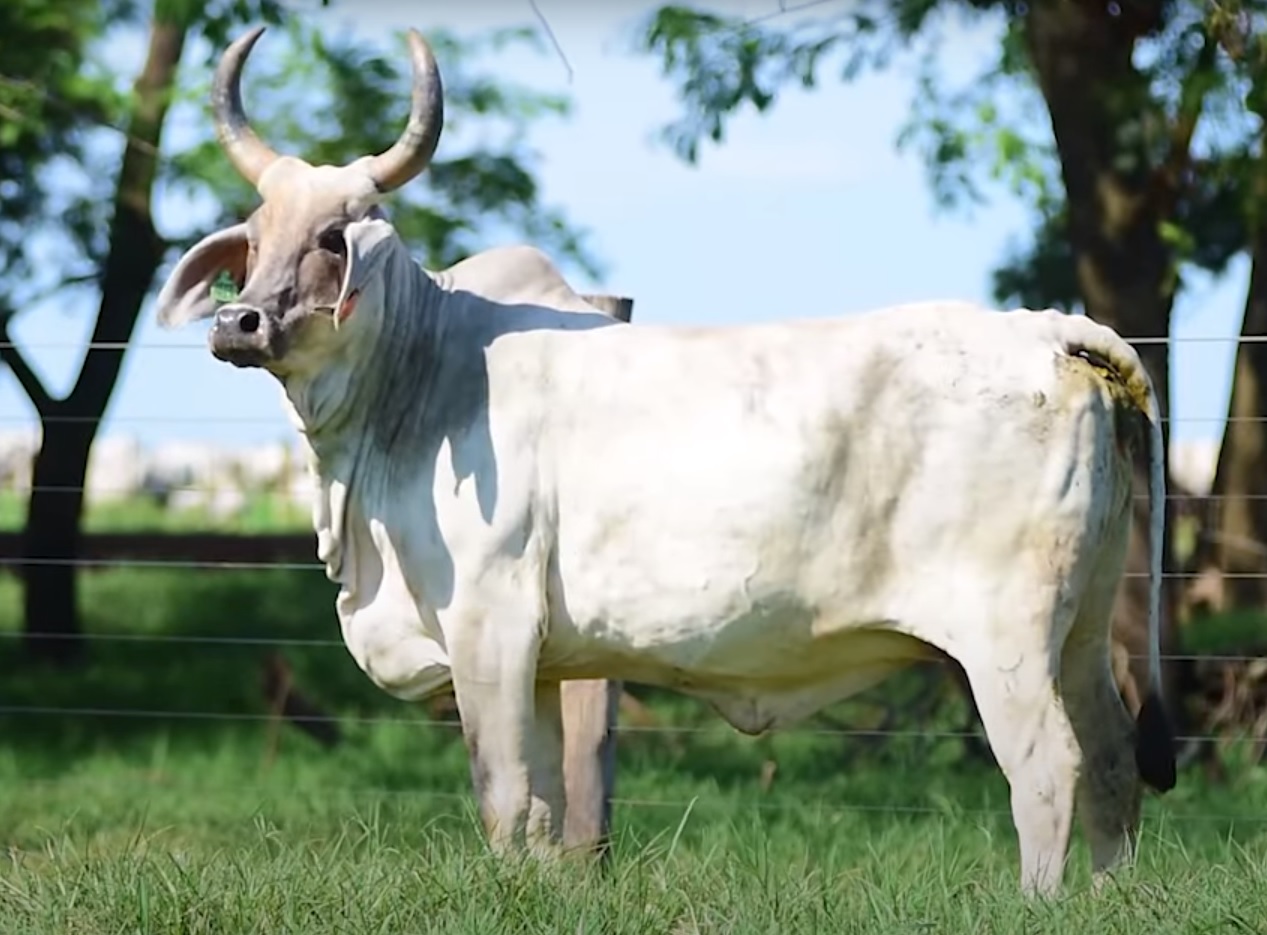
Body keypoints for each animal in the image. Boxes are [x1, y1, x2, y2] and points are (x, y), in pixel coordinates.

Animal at [155, 25, 1175, 891]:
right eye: (254, 234)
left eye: (335, 237)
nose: (238, 322)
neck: (416, 382)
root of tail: (1046, 330)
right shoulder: (541, 661)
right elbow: (540, 808)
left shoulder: (489, 627)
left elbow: (503, 795)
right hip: (1083, 625)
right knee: (1113, 760)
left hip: (1006, 638)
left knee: (1048, 767)